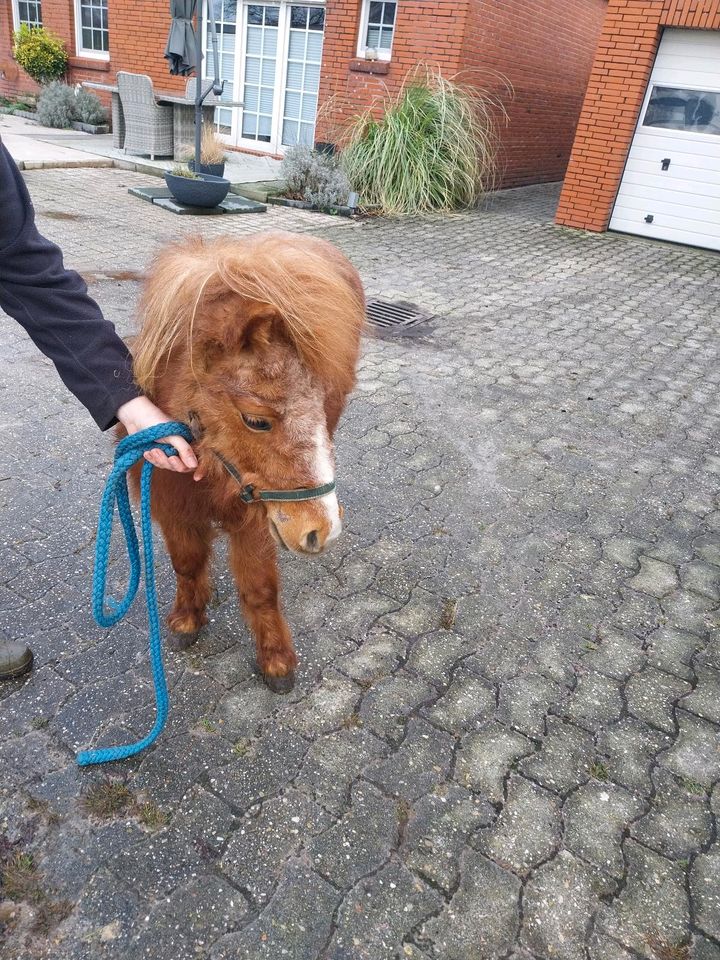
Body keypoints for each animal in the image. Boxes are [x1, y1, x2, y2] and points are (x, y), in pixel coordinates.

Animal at [126, 231, 366, 688]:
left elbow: (259, 588)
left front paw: (275, 660)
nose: (321, 532)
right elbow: (186, 563)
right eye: (256, 420)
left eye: (325, 403)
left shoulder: (255, 516)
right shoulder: (172, 506)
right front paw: (188, 618)